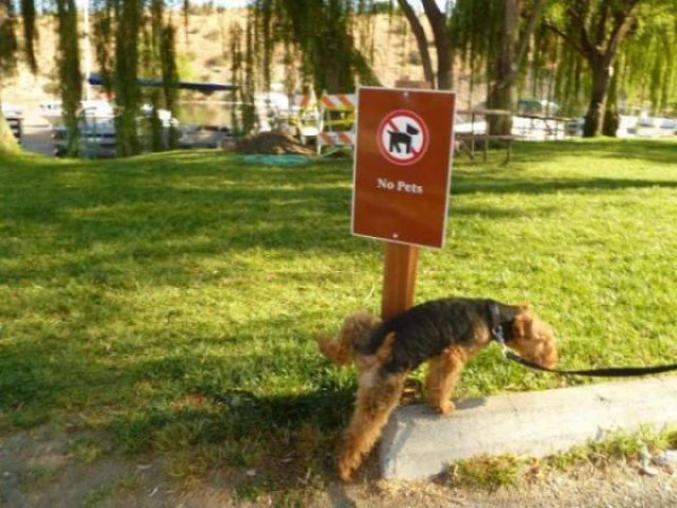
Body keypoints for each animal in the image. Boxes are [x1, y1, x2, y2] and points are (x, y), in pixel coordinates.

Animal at [320, 298, 556, 480]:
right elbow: (444, 383)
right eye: (543, 340)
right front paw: (444, 406)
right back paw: (344, 470)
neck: (492, 319)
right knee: (357, 436)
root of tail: (369, 353)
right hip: (382, 395)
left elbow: (435, 381)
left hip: (364, 327)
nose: (553, 362)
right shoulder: (454, 354)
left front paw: (435, 402)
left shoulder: (441, 355)